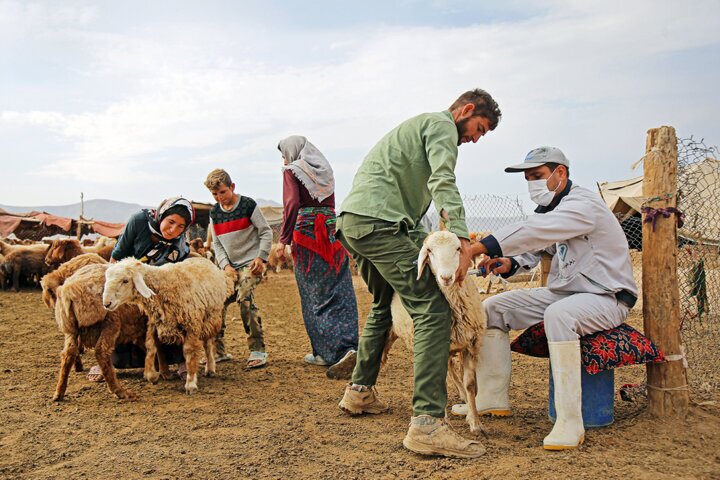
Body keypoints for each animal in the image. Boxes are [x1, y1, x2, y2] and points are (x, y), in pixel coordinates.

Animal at [53, 262, 150, 402]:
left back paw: (59, 392)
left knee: (68, 353)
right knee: (101, 352)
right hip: (111, 320)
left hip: (71, 329)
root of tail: (69, 290)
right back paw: (120, 392)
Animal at [102, 258, 236, 394]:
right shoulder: (155, 323)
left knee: (208, 343)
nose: (106, 304)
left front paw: (190, 383)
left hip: (210, 317)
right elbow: (151, 346)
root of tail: (206, 261)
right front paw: (152, 375)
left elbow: (189, 351)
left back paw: (210, 368)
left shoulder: (192, 324)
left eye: (125, 280)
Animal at [380, 231, 486, 436]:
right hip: (392, 334)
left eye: (458, 248)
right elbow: (437, 383)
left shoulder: (471, 345)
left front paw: (475, 422)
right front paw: (442, 420)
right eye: (429, 251)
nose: (446, 277)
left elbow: (470, 383)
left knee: (452, 371)